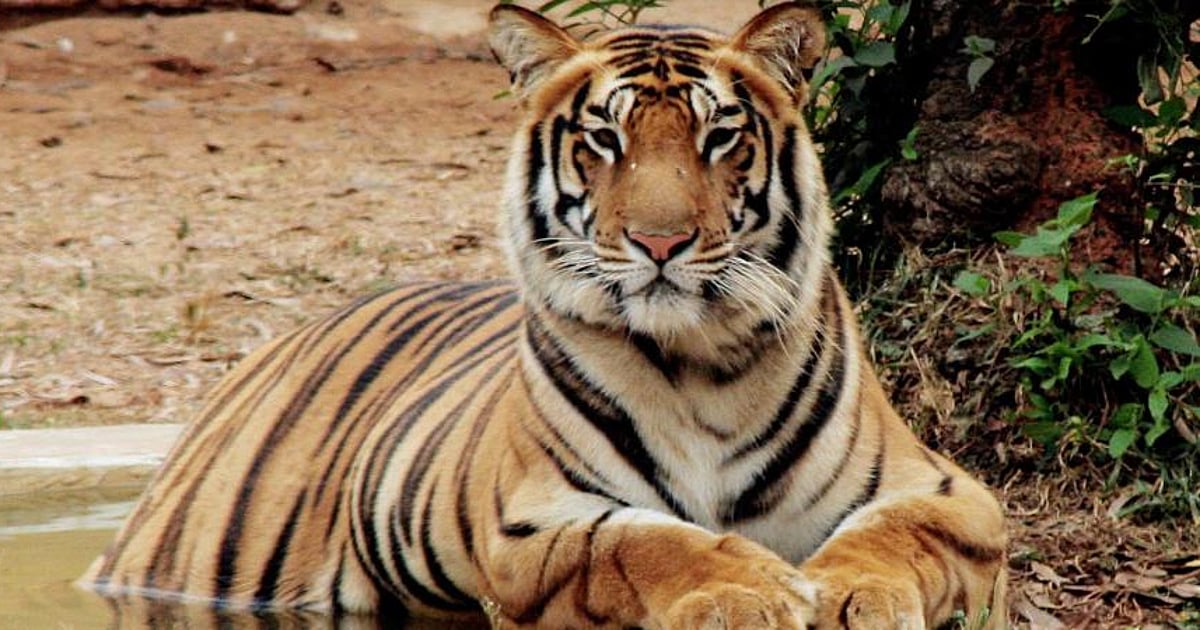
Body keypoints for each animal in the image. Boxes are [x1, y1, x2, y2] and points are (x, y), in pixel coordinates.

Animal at [81, 3, 1009, 629]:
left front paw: (855, 592)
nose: (660, 241)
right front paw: (747, 589)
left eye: (719, 138)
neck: (701, 359)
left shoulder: (952, 493)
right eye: (604, 140)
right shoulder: (532, 526)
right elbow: (646, 541)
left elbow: (892, 537)